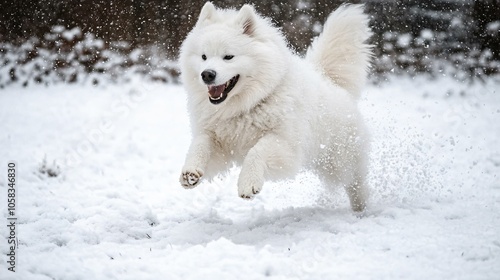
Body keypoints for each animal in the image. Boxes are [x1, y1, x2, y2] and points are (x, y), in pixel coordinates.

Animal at [179, 1, 372, 211]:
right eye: (204, 57)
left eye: (228, 56)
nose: (207, 74)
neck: (244, 106)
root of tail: (331, 81)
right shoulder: (217, 138)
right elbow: (200, 144)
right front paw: (190, 172)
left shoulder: (285, 143)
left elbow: (257, 151)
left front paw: (248, 183)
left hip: (340, 162)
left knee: (356, 182)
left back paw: (361, 208)